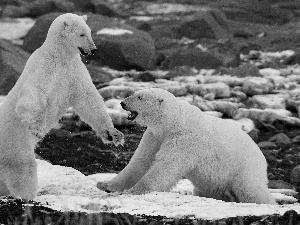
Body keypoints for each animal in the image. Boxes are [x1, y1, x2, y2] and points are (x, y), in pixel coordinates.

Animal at [0, 12, 123, 199]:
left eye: (89, 32)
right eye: (82, 34)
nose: (94, 49)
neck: (61, 55)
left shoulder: (74, 72)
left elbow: (88, 99)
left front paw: (113, 134)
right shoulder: (46, 67)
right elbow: (33, 93)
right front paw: (37, 128)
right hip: (15, 145)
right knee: (24, 170)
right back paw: (27, 195)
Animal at [97, 89, 276, 205]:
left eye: (140, 97)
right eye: (134, 93)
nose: (122, 103)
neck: (173, 122)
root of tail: (262, 158)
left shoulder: (184, 139)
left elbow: (165, 166)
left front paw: (135, 190)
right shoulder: (155, 137)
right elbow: (141, 162)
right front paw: (105, 185)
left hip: (244, 169)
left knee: (249, 189)